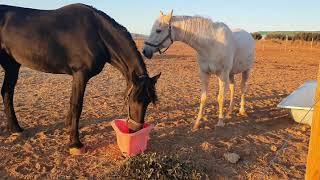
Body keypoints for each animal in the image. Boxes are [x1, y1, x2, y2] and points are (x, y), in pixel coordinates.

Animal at [0, 3, 160, 151]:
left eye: (148, 101)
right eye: (132, 99)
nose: (134, 129)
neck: (97, 32)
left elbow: (72, 103)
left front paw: (68, 127)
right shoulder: (80, 74)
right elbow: (77, 105)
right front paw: (75, 143)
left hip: (12, 65)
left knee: (7, 92)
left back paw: (15, 128)